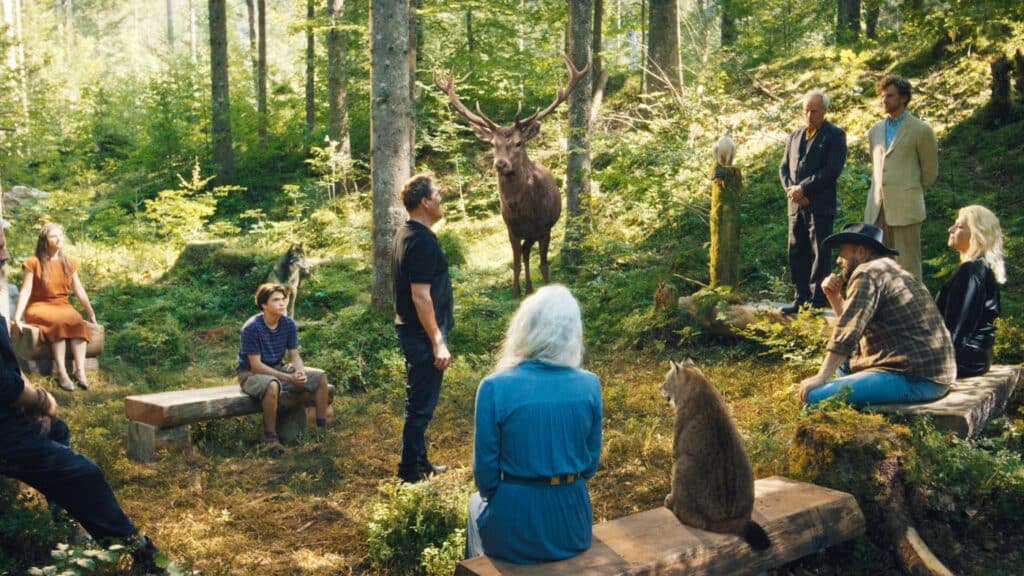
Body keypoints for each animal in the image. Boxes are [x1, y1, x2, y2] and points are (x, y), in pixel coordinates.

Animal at [434, 54, 591, 297]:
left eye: (518, 143)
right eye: (492, 143)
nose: (500, 164)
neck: (524, 210)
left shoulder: (545, 228)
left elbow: (544, 265)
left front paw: (545, 287)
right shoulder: (511, 229)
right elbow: (516, 262)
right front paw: (516, 292)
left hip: (539, 231)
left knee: (530, 253)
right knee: (525, 253)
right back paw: (527, 288)